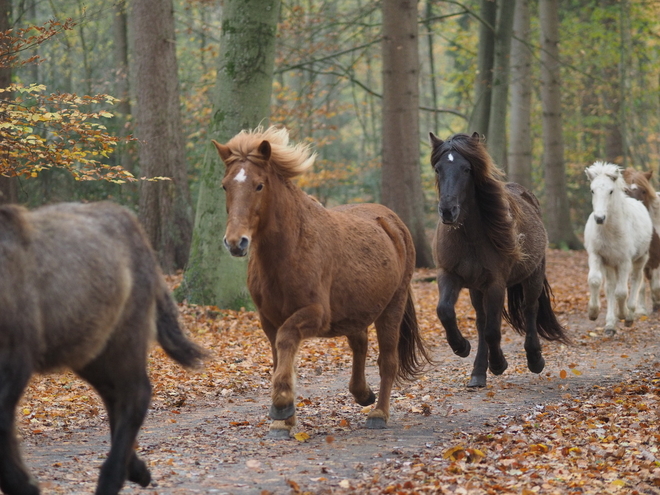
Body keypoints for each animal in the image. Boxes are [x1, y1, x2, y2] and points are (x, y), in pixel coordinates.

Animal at [214, 126, 430, 436]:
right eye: (225, 186)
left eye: (259, 185)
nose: (235, 242)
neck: (289, 249)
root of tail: (393, 222)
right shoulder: (268, 320)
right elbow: (280, 356)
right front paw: (284, 420)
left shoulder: (314, 314)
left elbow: (287, 340)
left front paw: (281, 405)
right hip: (356, 310)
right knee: (360, 344)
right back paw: (362, 393)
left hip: (393, 305)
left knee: (387, 360)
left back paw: (378, 413)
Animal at [428, 134, 568, 390]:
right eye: (438, 168)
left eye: (467, 169)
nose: (448, 211)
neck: (469, 237)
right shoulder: (449, 275)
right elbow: (445, 311)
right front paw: (461, 347)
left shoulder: (495, 283)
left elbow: (493, 330)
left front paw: (498, 363)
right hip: (476, 288)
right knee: (482, 320)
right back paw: (477, 373)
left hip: (533, 276)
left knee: (529, 310)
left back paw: (534, 359)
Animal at [584, 163, 652, 338]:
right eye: (592, 190)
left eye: (610, 191)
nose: (599, 218)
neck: (610, 231)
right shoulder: (596, 255)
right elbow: (595, 280)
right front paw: (593, 313)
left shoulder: (624, 261)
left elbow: (621, 292)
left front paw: (623, 314)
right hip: (610, 264)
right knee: (610, 287)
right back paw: (610, 325)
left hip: (640, 259)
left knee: (635, 281)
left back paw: (629, 316)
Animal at [620, 169, 660, 312]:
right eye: (625, 190)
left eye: (644, 191)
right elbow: (642, 285)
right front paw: (641, 309)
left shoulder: (656, 260)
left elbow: (656, 285)